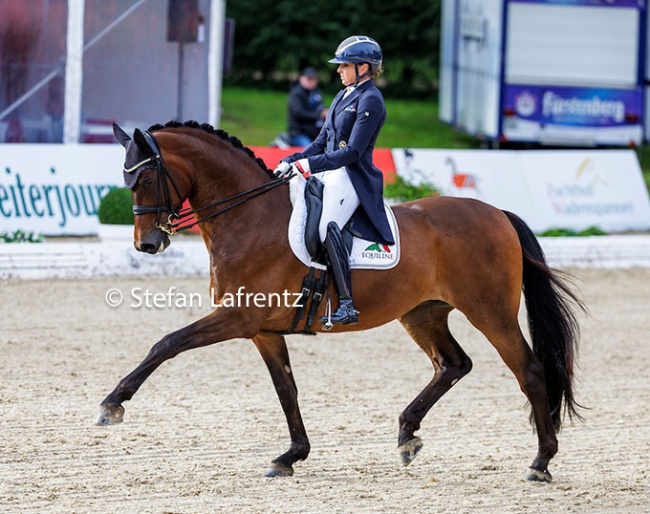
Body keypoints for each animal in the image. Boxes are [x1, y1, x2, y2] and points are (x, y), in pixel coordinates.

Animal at [95, 120, 584, 480]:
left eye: (145, 176)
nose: (147, 244)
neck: (249, 216)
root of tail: (496, 212)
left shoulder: (238, 317)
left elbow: (167, 343)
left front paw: (113, 403)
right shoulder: (264, 330)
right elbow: (286, 388)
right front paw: (291, 456)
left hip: (490, 312)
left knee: (529, 370)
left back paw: (541, 461)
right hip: (422, 314)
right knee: (452, 364)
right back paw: (407, 435)